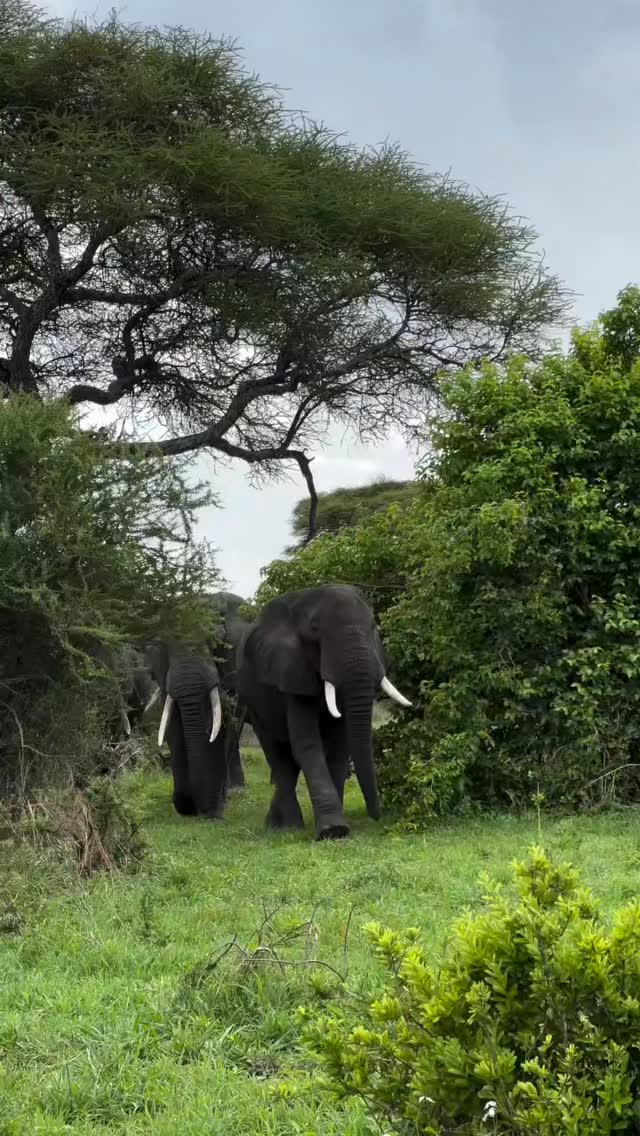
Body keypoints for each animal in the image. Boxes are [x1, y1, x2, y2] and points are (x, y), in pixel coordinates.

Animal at [237, 583, 411, 841]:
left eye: (373, 627)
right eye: (314, 630)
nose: (377, 818)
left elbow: (339, 747)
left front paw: (338, 829)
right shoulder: (293, 672)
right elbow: (308, 744)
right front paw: (333, 830)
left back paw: (276, 825)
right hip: (253, 700)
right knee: (277, 755)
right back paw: (288, 828)